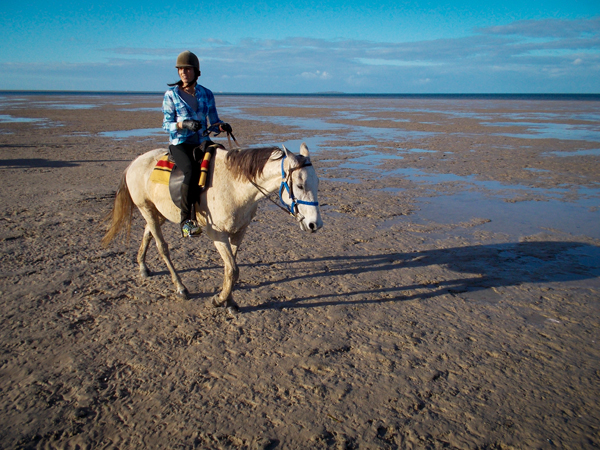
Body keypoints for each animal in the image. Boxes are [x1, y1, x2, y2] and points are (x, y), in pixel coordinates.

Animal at [102, 142, 324, 312]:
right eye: (300, 185)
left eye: (317, 183)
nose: (315, 224)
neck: (235, 186)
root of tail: (134, 163)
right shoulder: (218, 235)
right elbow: (232, 269)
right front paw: (218, 300)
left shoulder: (239, 232)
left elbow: (231, 269)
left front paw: (230, 302)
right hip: (146, 208)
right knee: (162, 247)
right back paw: (180, 287)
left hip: (159, 212)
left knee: (148, 233)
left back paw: (142, 265)